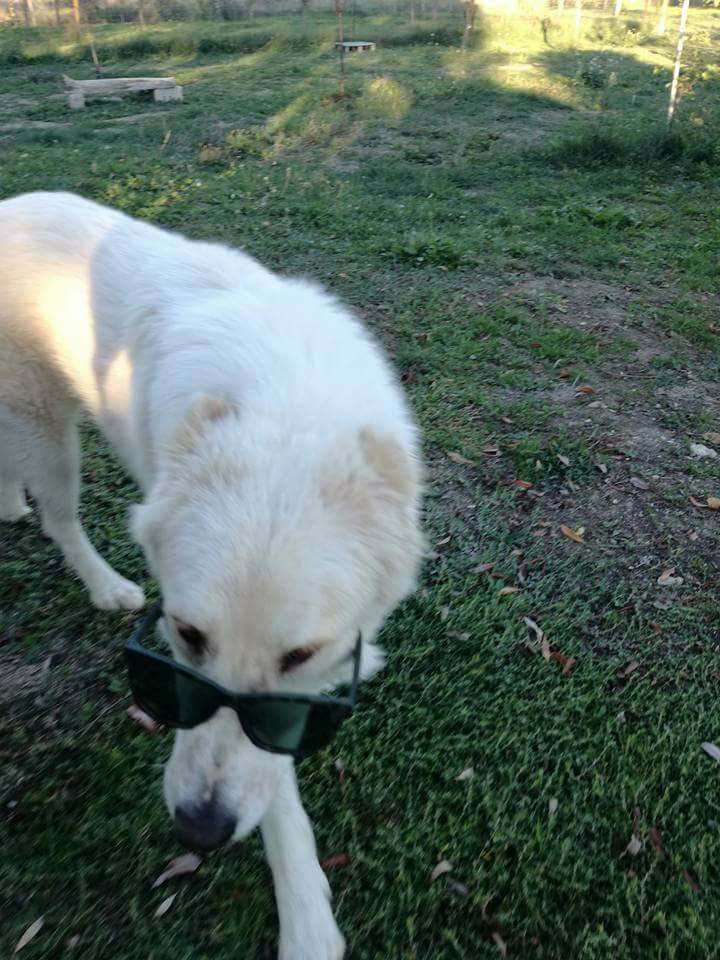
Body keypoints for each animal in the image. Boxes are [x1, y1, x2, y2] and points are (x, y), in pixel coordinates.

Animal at [0, 193, 422, 960]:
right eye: (187, 635)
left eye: (300, 654)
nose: (198, 830)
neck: (288, 407)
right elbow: (272, 788)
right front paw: (307, 922)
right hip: (50, 431)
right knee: (61, 519)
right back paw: (103, 582)